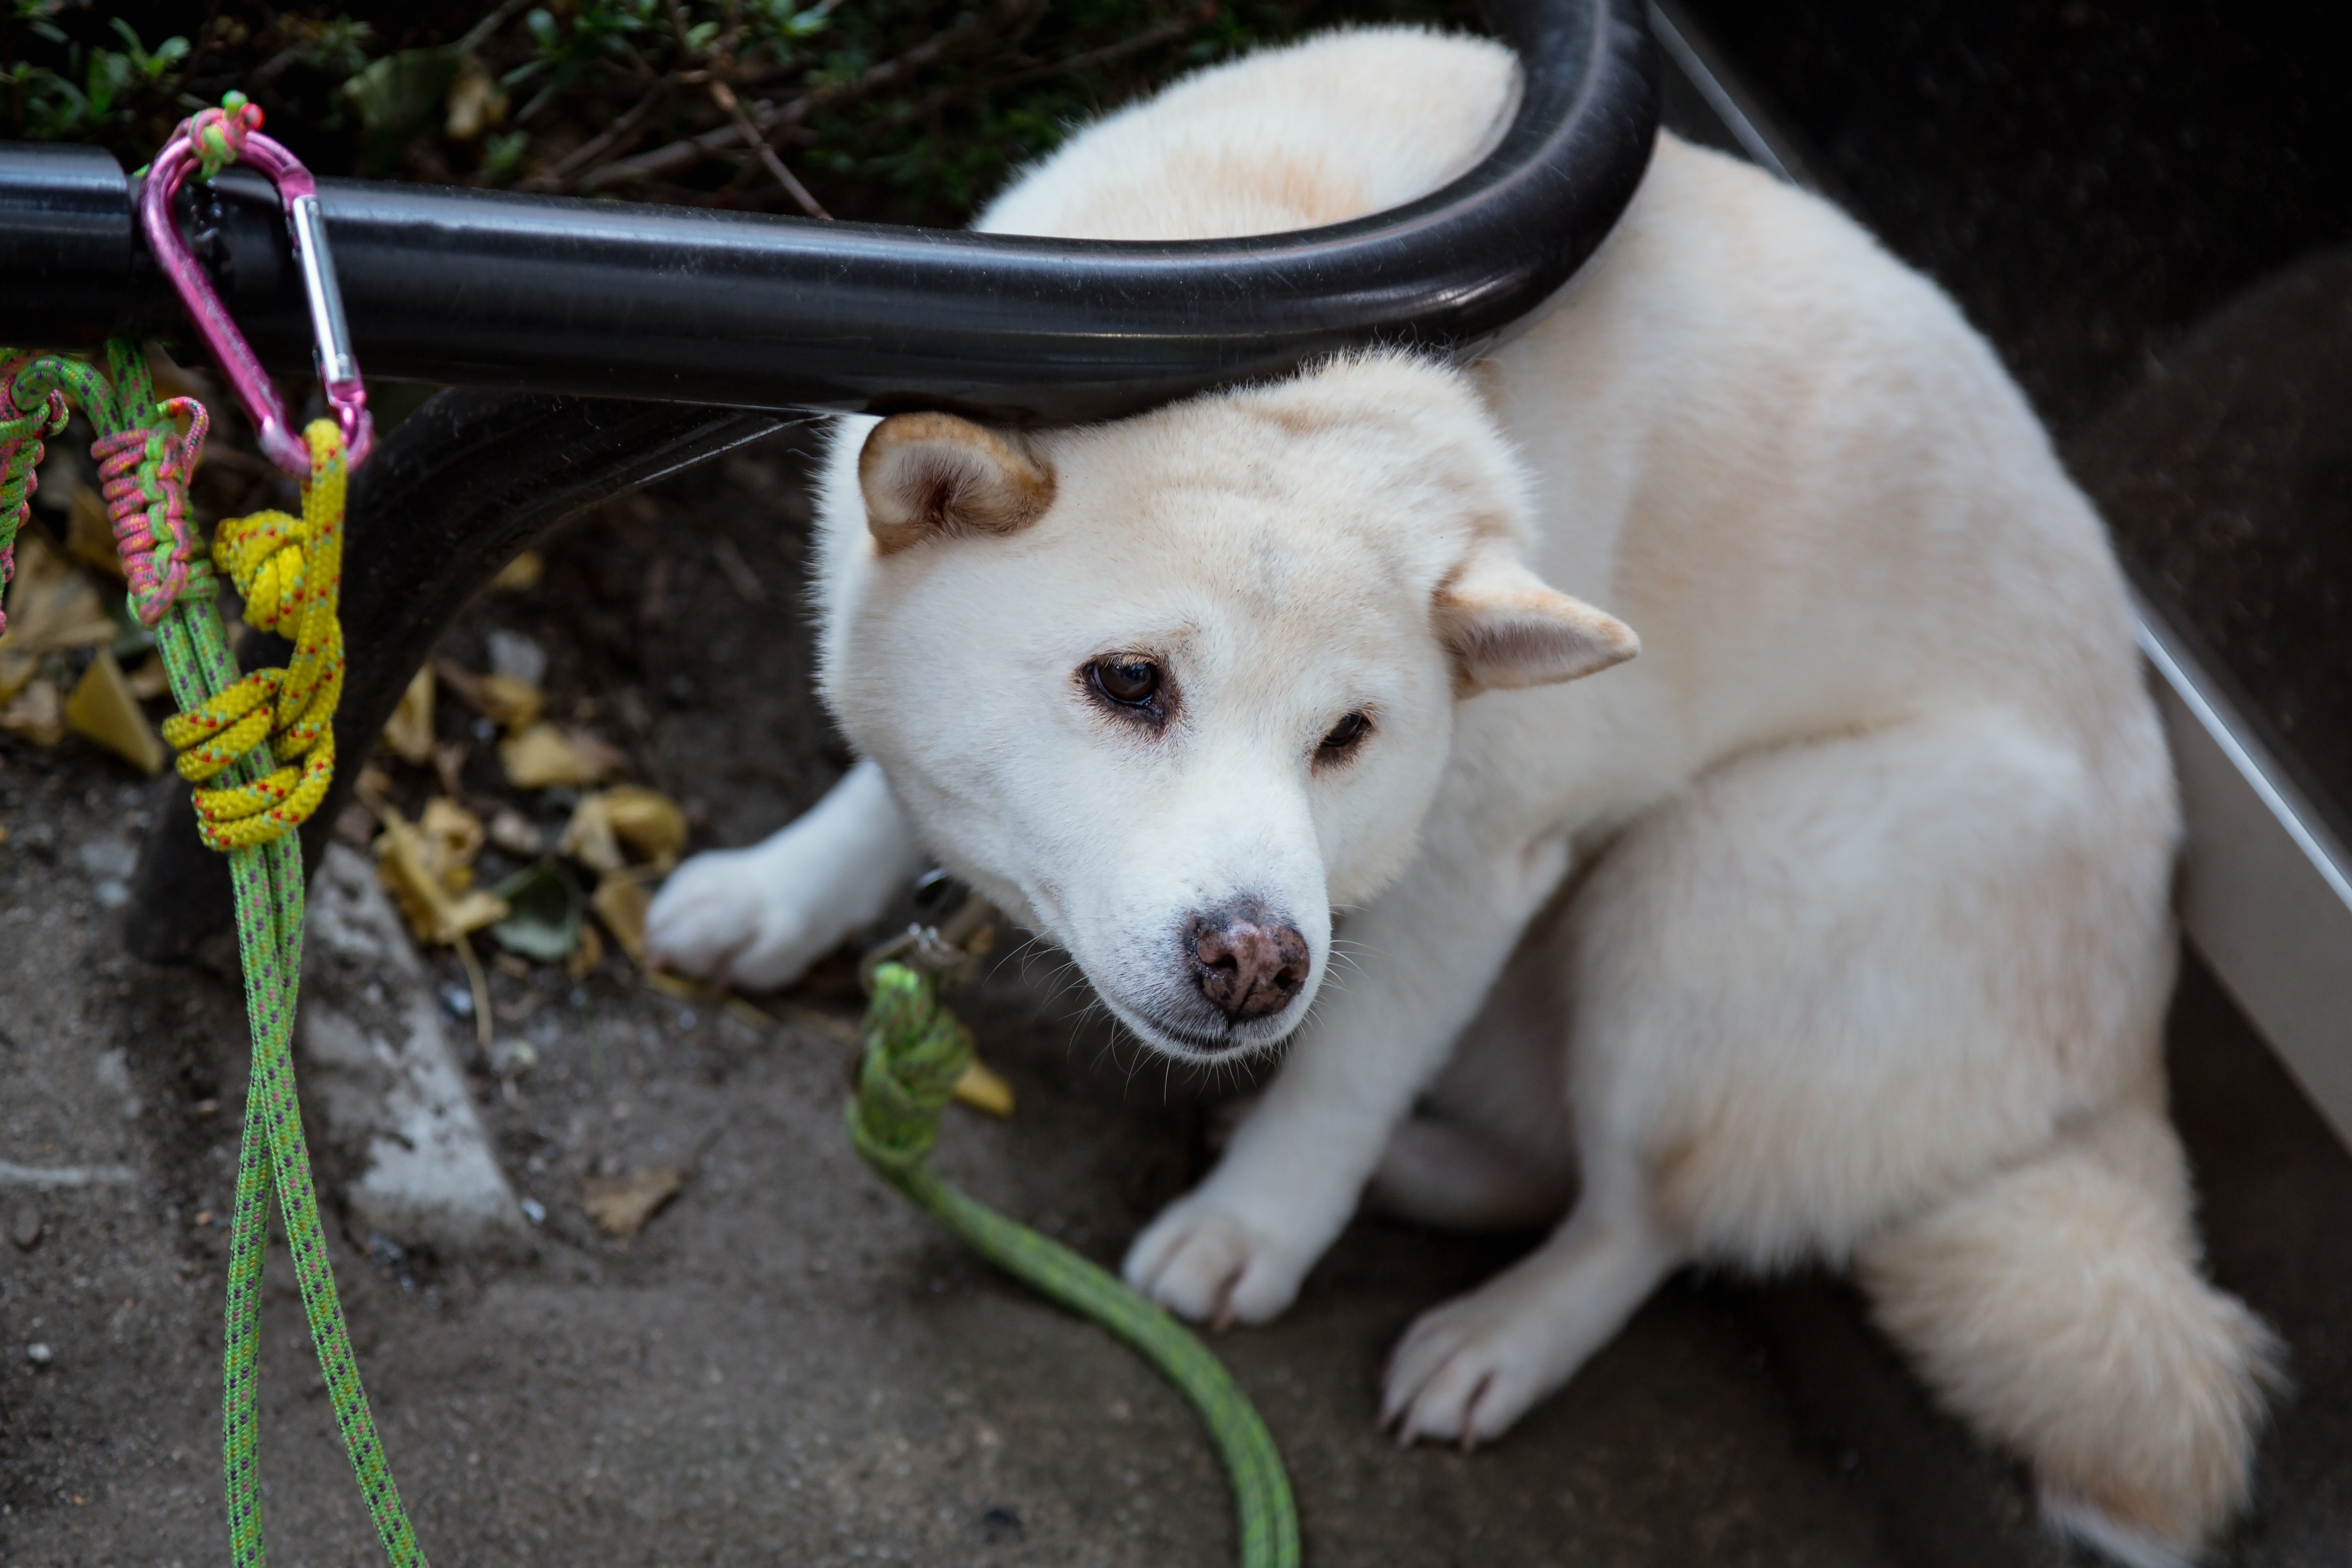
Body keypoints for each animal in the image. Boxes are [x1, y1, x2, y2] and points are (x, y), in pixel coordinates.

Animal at [644, 27, 2276, 1568]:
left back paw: (1499, 1332)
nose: (1254, 965)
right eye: (1127, 684)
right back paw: (1422, 1172)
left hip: (1708, 883)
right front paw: (784, 885)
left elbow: (1350, 1070)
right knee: (1548, 1159)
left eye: (1349, 737)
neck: (1293, 313)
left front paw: (1254, 1229)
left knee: (1640, 1220)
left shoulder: (1484, 859)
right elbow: (883, 771)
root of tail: (2137, 1032)